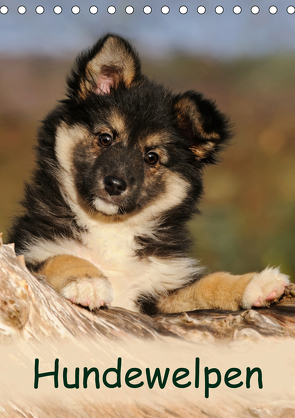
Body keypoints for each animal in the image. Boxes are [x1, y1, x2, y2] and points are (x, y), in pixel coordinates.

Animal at [6, 34, 290, 314]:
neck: (111, 227)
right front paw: (88, 280)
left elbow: (206, 284)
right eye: (105, 138)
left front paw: (256, 283)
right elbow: (61, 257)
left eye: (151, 157)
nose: (114, 184)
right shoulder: (29, 252)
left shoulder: (160, 294)